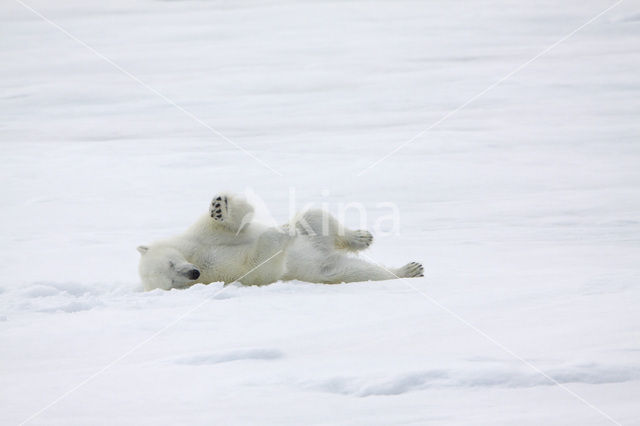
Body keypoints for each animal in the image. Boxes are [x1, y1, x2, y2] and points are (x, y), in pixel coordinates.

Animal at [138, 194, 422, 292]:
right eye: (173, 283)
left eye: (172, 262)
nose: (193, 273)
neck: (197, 258)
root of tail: (324, 253)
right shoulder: (226, 273)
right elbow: (259, 267)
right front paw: (281, 234)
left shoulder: (197, 238)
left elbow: (233, 223)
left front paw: (220, 207)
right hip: (327, 271)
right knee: (359, 271)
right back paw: (407, 270)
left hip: (314, 234)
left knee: (314, 218)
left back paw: (361, 237)